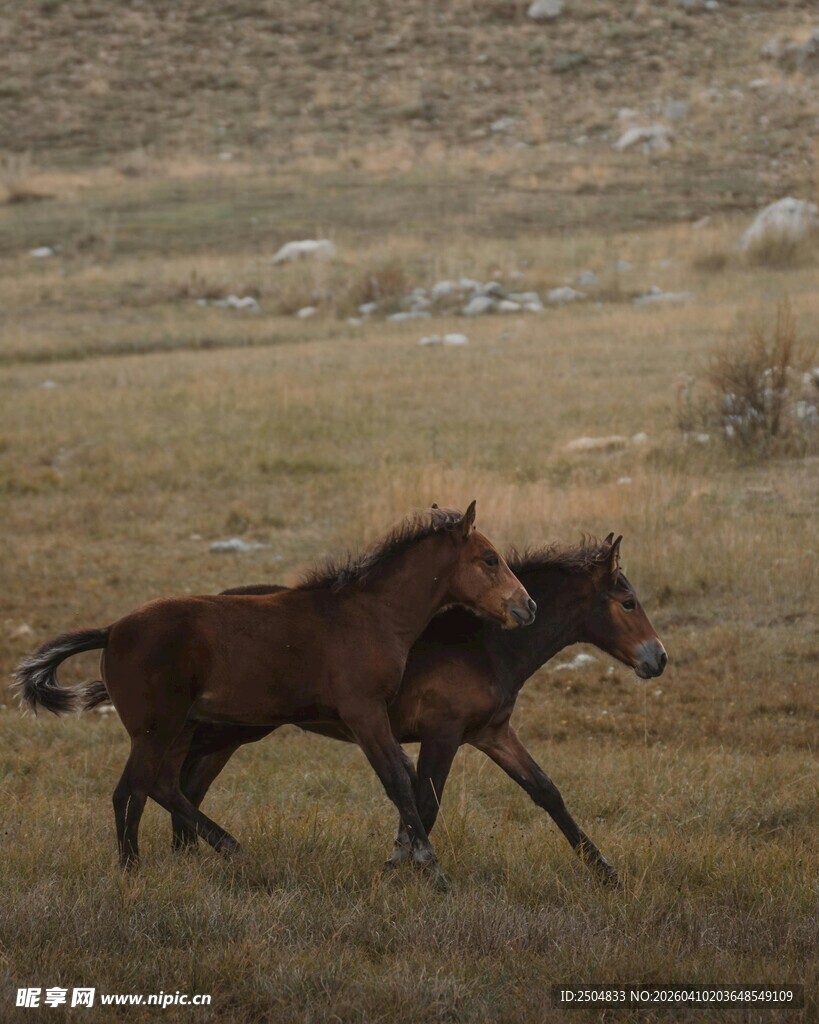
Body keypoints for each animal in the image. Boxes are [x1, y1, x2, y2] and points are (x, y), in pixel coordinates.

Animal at [14, 502, 536, 882]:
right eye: (490, 559)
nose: (526, 606)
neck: (372, 615)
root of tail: (112, 631)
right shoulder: (364, 712)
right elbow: (398, 779)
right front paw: (431, 868)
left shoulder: (372, 717)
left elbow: (405, 778)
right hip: (157, 727)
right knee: (133, 789)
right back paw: (133, 870)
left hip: (178, 728)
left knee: (159, 784)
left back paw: (222, 848)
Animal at [131, 533, 665, 888]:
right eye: (628, 602)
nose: (658, 658)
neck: (485, 645)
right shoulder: (442, 734)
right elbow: (424, 800)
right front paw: (399, 868)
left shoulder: (492, 733)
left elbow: (546, 792)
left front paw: (606, 872)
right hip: (227, 728)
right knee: (170, 777)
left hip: (230, 730)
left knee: (184, 781)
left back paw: (183, 856)